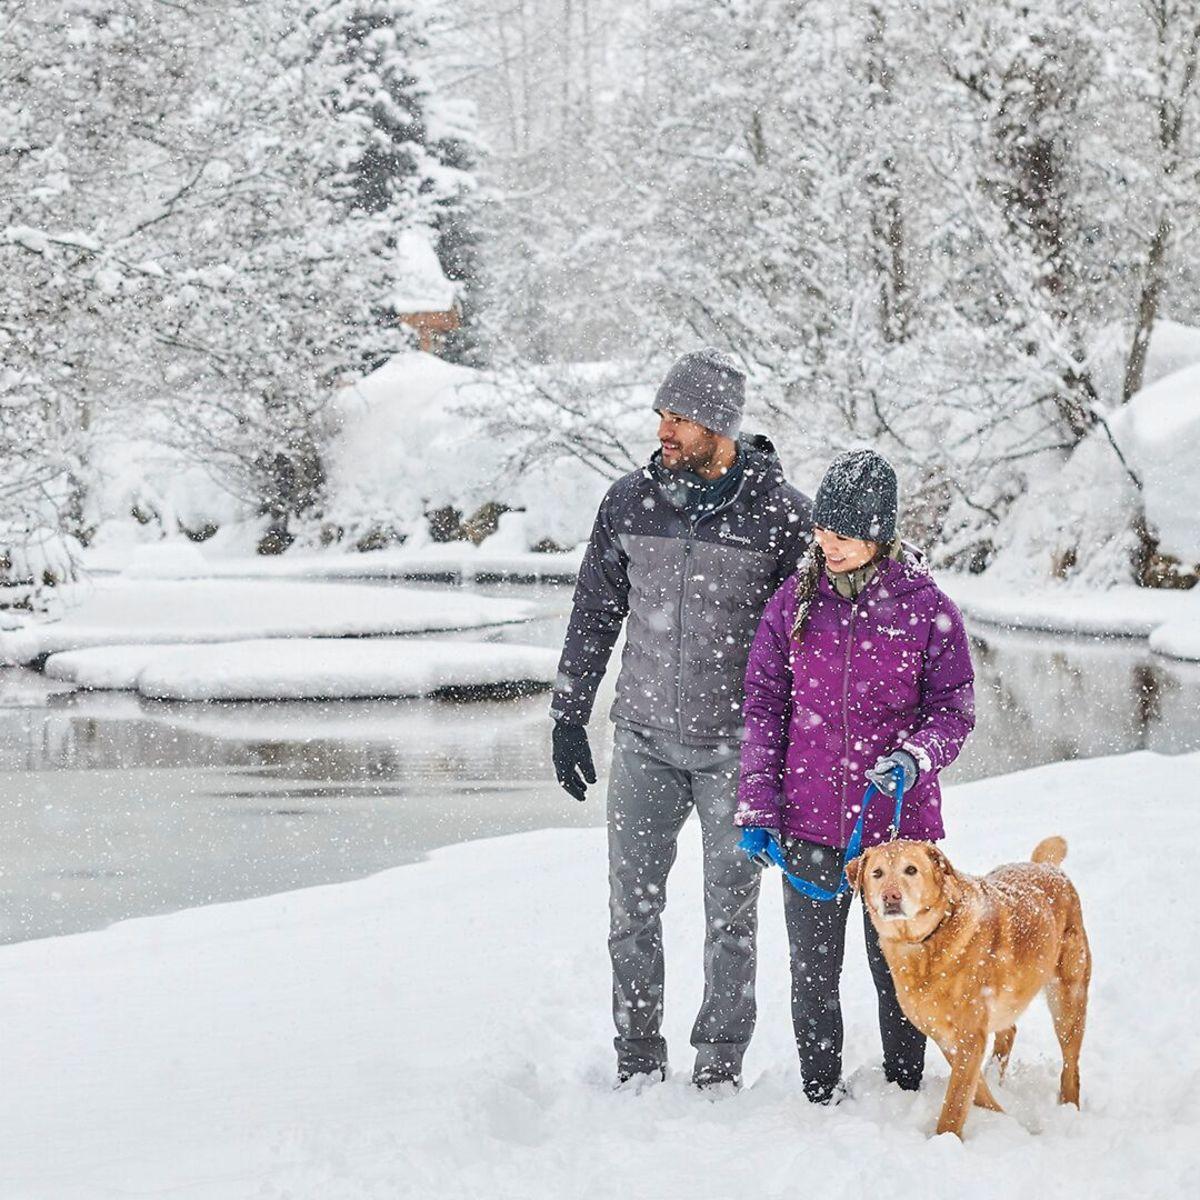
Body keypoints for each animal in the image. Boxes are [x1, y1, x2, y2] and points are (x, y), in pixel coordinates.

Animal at [844, 835, 1089, 1132]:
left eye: (911, 870)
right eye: (877, 873)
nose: (890, 896)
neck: (927, 941)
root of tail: (1045, 867)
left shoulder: (970, 1035)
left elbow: (956, 1101)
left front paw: (946, 1137)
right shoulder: (946, 1036)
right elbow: (974, 1090)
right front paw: (1000, 1117)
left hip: (1069, 999)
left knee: (1071, 1065)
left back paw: (1069, 1108)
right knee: (1009, 1032)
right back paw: (995, 1075)